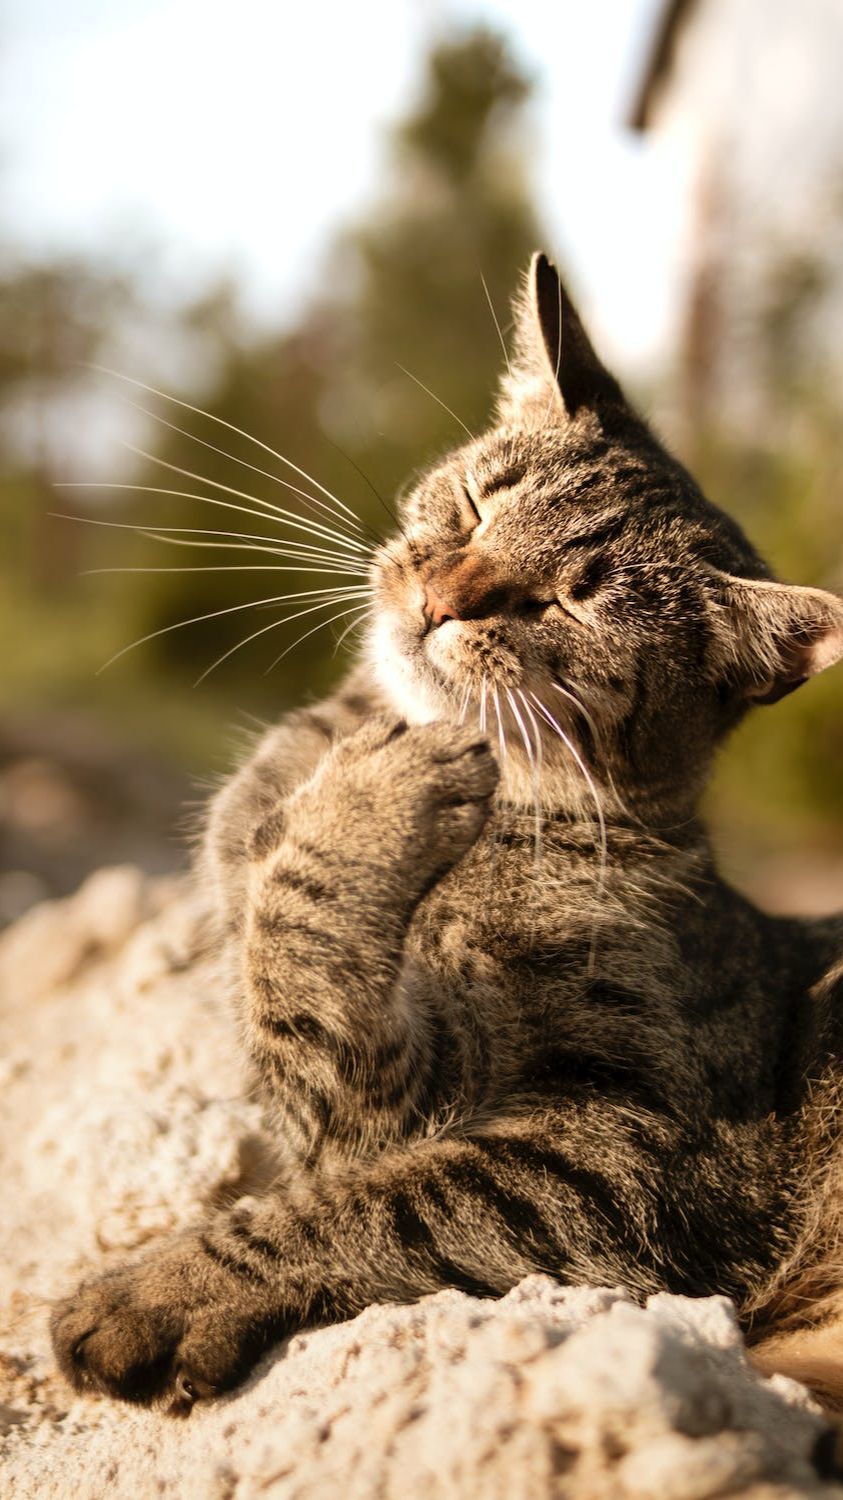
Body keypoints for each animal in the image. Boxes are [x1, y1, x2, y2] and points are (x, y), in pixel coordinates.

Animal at [51, 252, 840, 1410]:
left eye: (570, 602)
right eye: (472, 504)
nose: (440, 597)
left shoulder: (624, 1153)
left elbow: (367, 1194)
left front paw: (154, 1294)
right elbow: (284, 954)